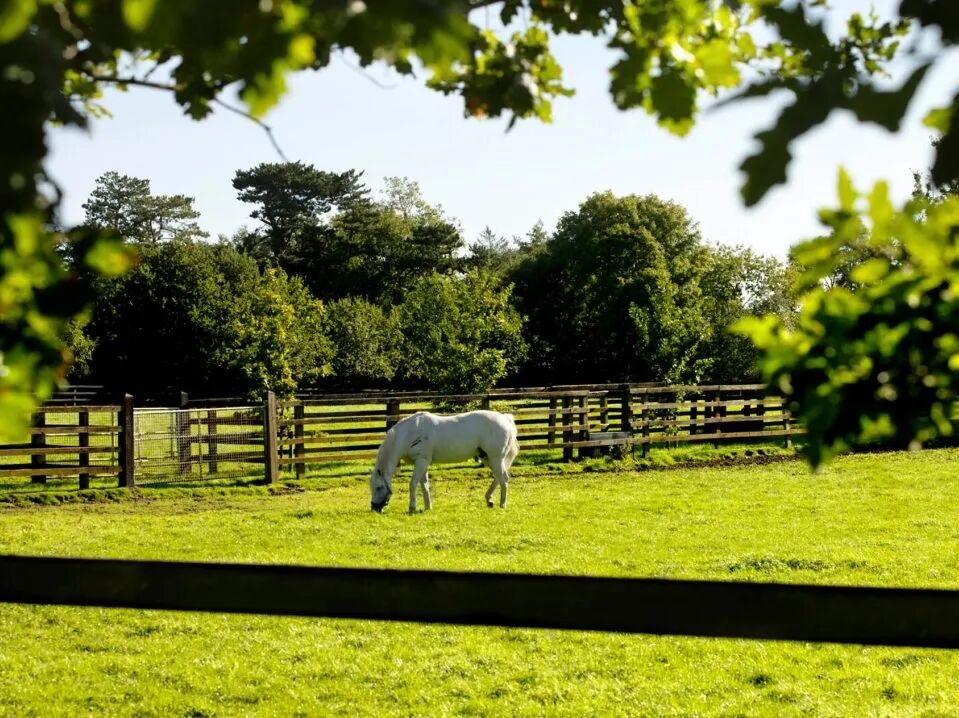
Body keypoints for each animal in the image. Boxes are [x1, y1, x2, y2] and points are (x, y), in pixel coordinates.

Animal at [369, 410, 520, 513]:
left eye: (379, 487)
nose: (374, 508)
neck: (408, 433)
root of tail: (505, 418)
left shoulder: (421, 461)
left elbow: (413, 484)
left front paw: (412, 507)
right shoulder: (423, 462)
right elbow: (424, 485)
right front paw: (428, 506)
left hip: (495, 458)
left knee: (504, 479)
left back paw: (502, 504)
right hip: (488, 458)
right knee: (498, 478)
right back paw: (489, 500)